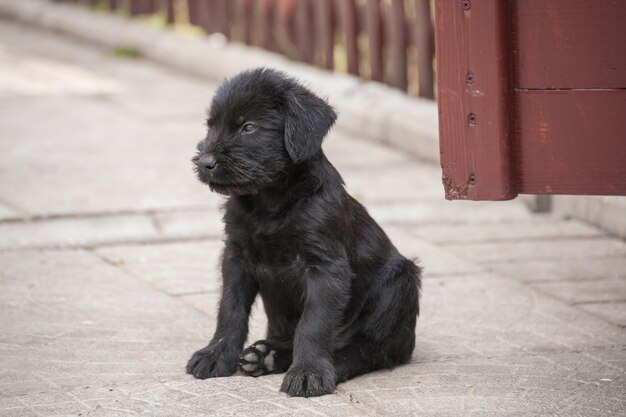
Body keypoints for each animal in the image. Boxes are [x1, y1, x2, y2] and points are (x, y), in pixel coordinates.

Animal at [185, 66, 420, 394]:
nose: (205, 162)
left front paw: (309, 372)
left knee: (372, 348)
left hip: (399, 284)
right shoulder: (236, 256)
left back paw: (332, 365)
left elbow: (314, 323)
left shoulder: (325, 266)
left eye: (249, 127)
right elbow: (230, 309)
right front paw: (216, 354)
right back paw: (267, 355)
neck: (270, 202)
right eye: (210, 126)